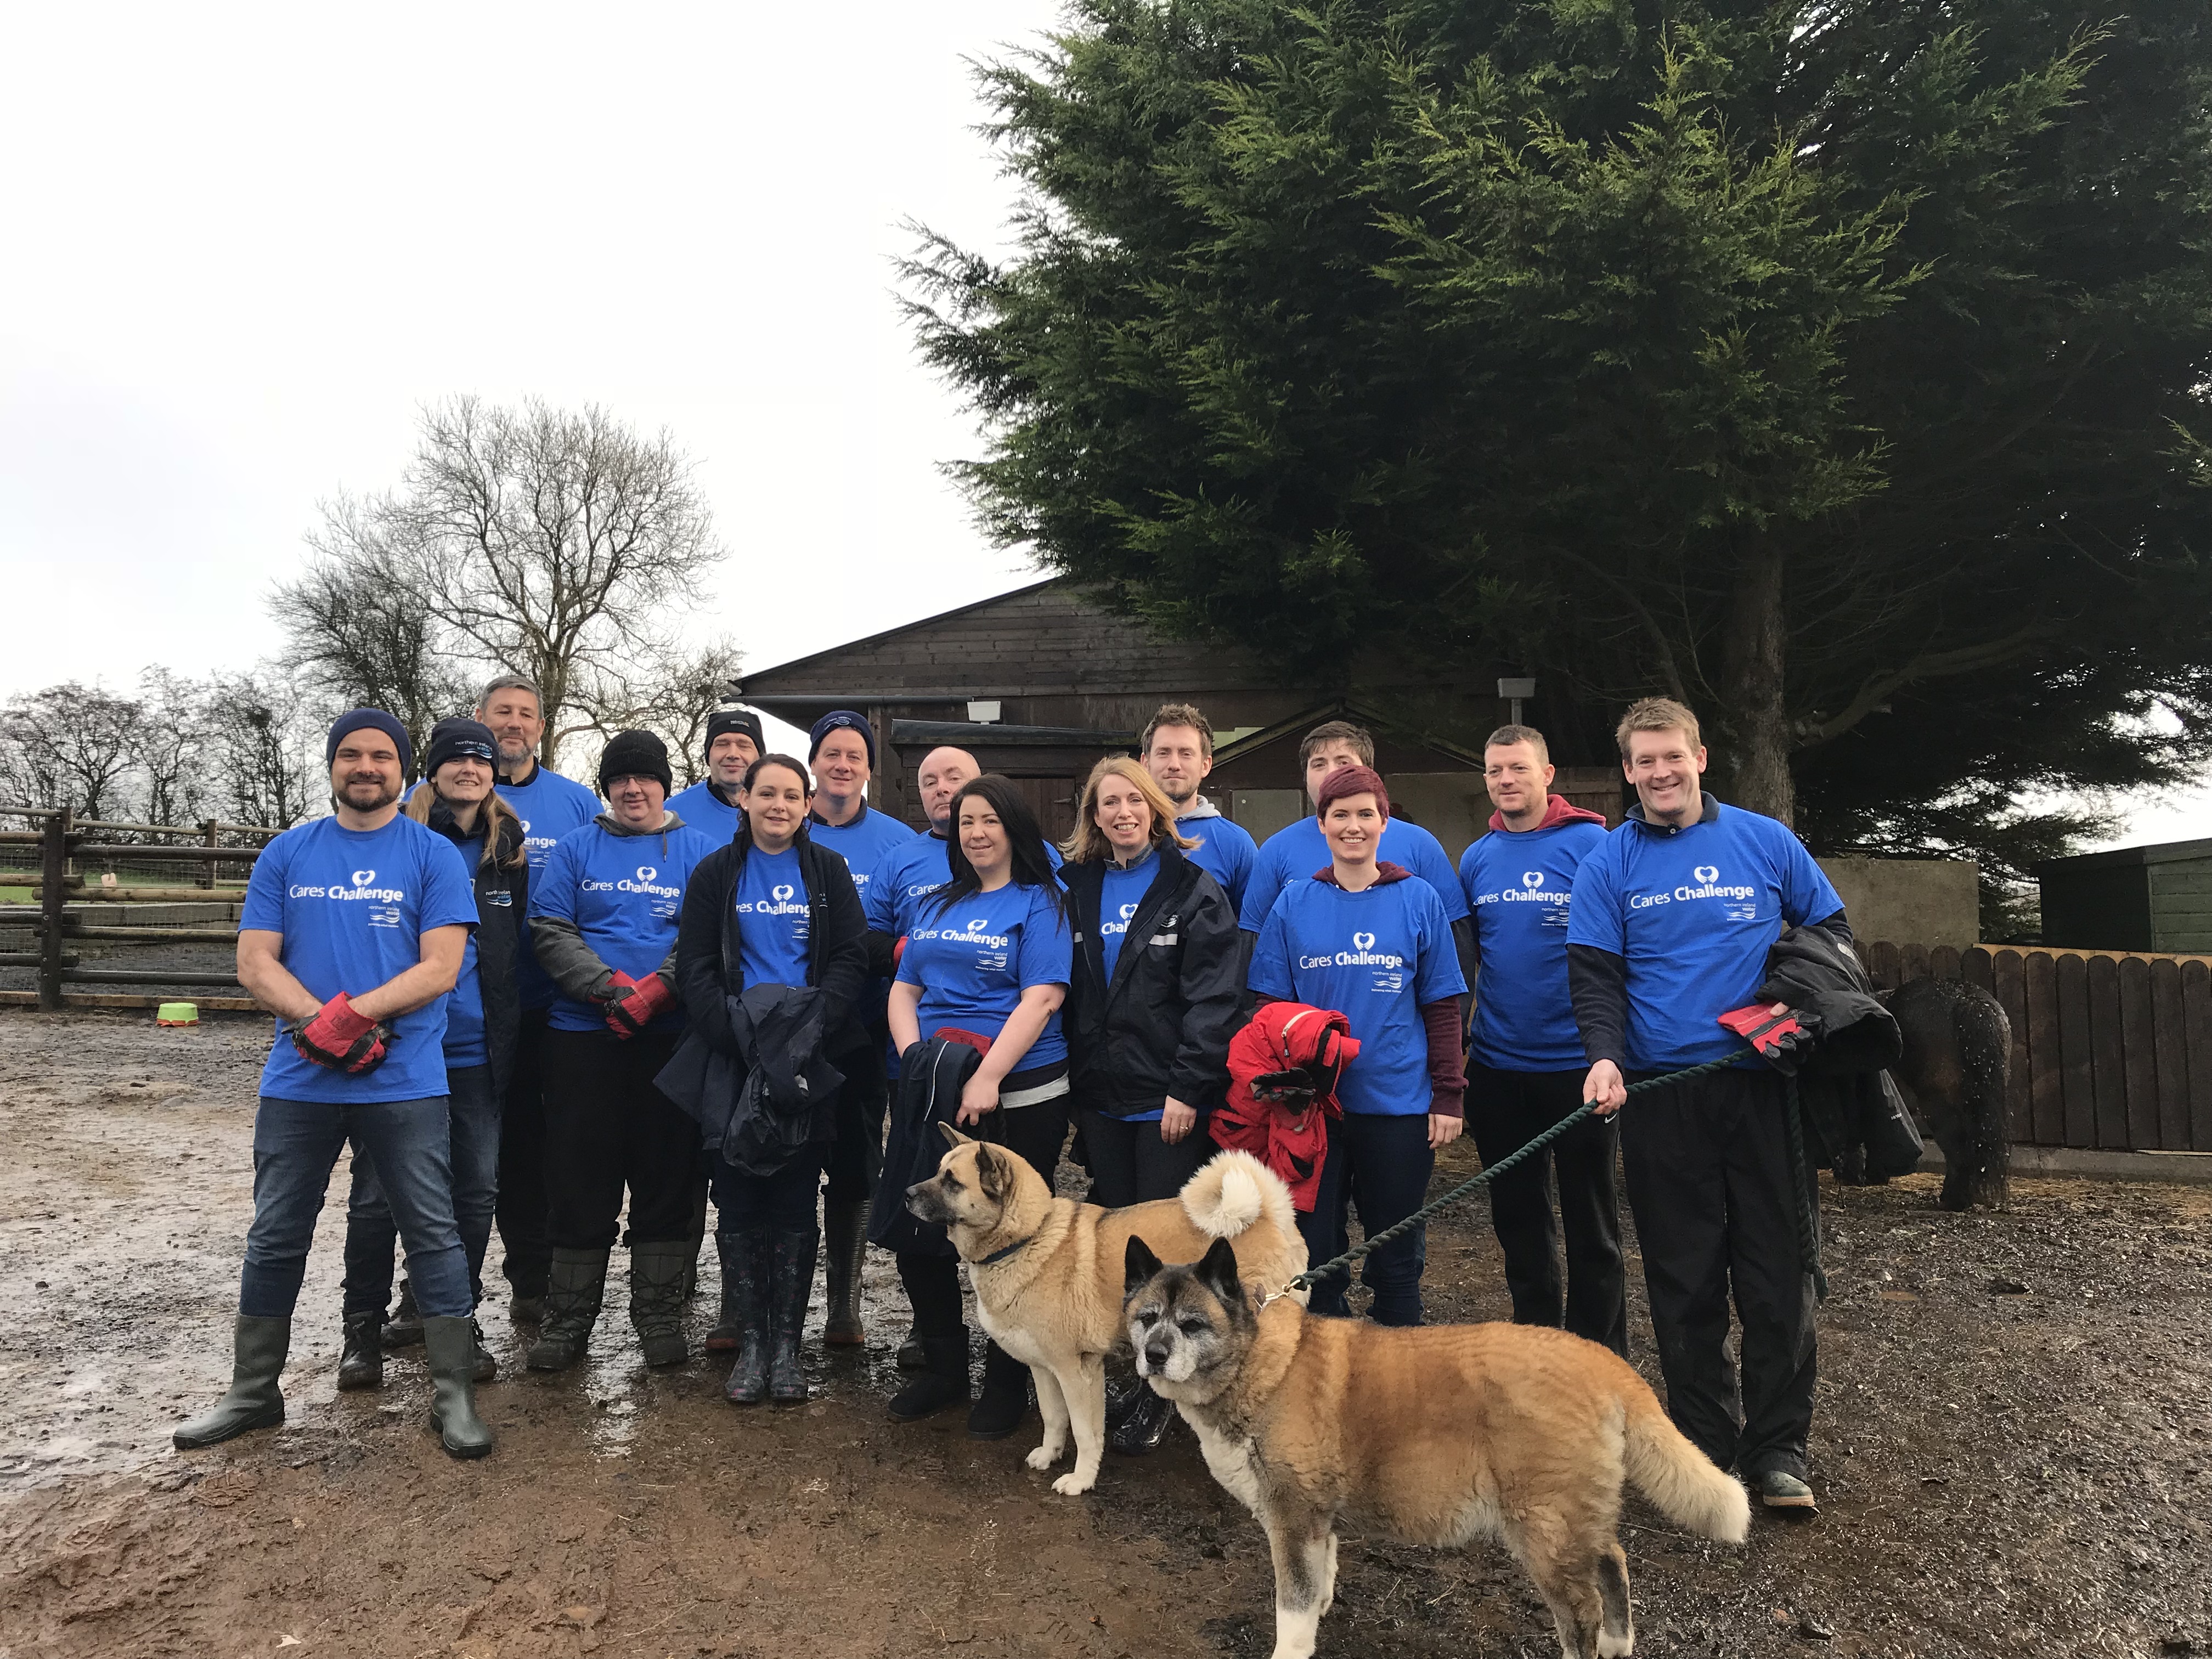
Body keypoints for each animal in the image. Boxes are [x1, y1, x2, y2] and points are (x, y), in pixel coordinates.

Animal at [907, 1141, 1300, 1504]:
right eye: (938, 1171)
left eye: (952, 1181)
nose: (907, 1194)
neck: (1028, 1238)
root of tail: (1269, 1217)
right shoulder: (1044, 1368)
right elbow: (1053, 1418)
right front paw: (1049, 1455)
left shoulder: (1077, 1372)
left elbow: (1084, 1432)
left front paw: (1081, 1479)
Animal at [1132, 1238, 1752, 1654]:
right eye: (1147, 1318)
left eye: (1191, 1324)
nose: (1153, 1356)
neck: (1259, 1360)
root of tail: (1601, 1360)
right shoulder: (1316, 1523)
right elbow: (1322, 1580)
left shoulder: (1293, 1520)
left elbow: (1294, 1609)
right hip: (1573, 1518)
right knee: (1612, 1562)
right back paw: (1620, 1645)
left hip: (1544, 1530)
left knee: (1582, 1612)